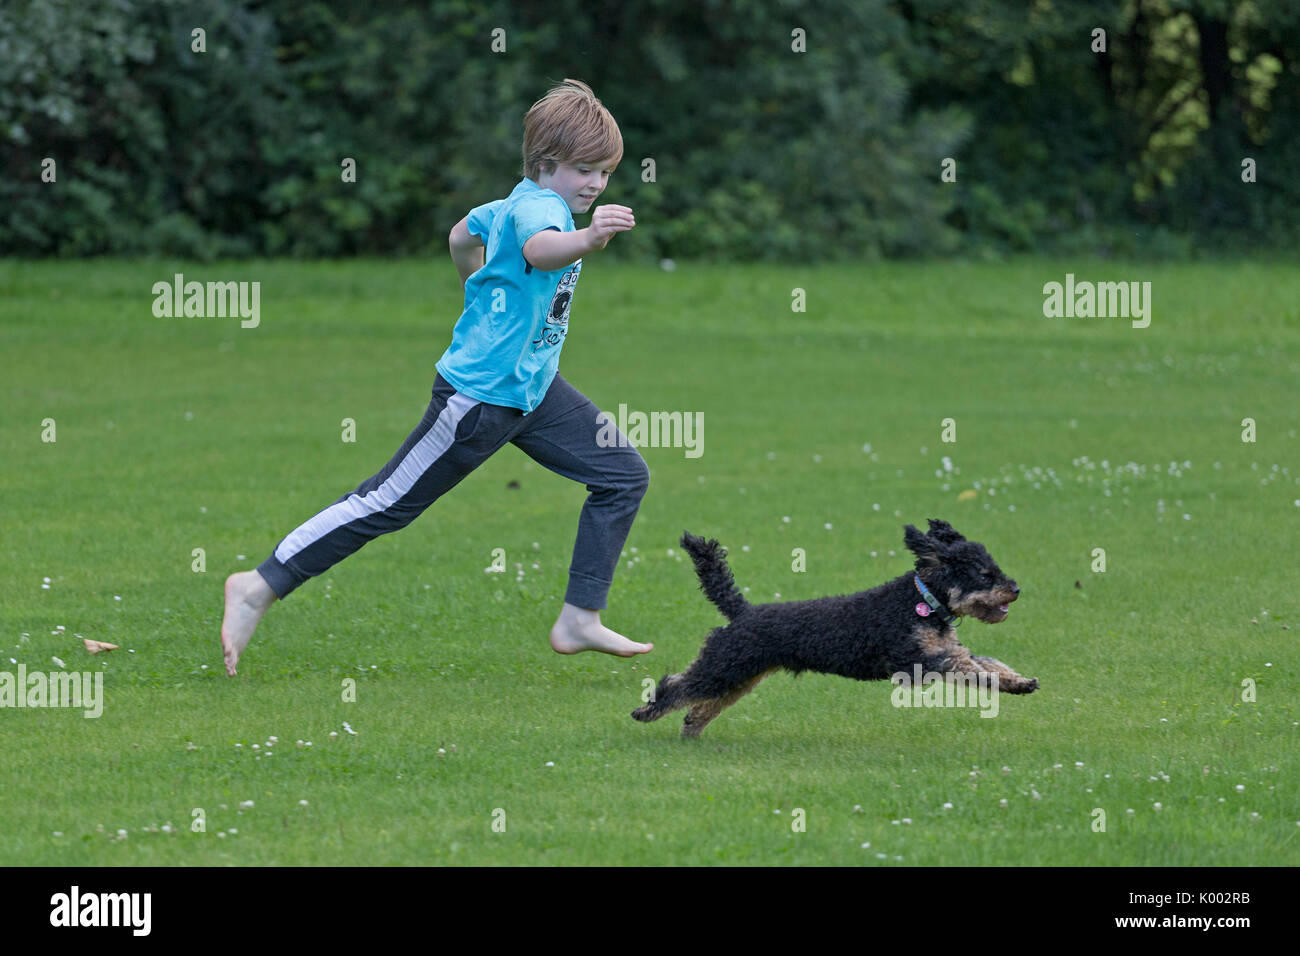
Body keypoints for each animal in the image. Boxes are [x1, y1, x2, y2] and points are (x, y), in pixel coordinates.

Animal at [629, 522, 1034, 738]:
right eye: (984, 574)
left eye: (995, 568)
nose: (1016, 589)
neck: (920, 601)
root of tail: (743, 611)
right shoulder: (917, 660)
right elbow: (973, 670)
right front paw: (1002, 682)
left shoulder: (943, 651)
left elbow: (985, 662)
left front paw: (1018, 682)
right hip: (724, 665)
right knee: (677, 686)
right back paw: (648, 712)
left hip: (742, 673)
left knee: (704, 704)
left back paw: (690, 729)